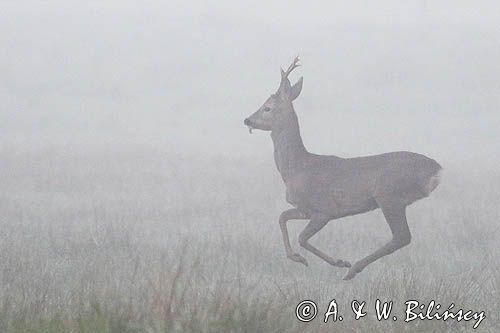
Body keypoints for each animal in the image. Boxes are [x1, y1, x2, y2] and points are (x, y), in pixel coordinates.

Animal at [244, 56, 440, 278]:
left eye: (267, 107)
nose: (247, 120)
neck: (296, 168)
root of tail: (436, 169)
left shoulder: (324, 209)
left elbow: (302, 237)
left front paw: (337, 262)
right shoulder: (304, 208)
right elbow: (282, 217)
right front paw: (296, 257)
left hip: (389, 196)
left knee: (402, 236)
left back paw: (353, 269)